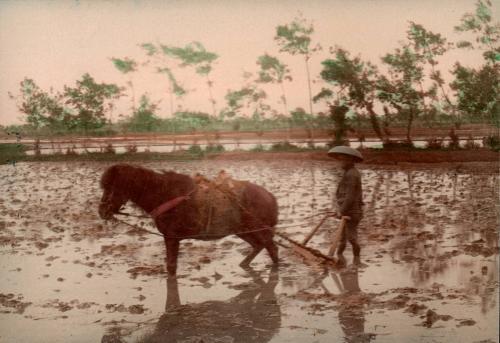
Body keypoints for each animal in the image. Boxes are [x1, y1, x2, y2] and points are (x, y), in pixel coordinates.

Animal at [97, 164, 278, 276]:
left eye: (110, 186)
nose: (101, 211)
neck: (165, 195)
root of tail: (269, 196)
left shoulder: (171, 238)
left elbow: (171, 267)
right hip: (243, 230)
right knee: (259, 246)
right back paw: (244, 265)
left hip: (260, 230)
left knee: (272, 248)